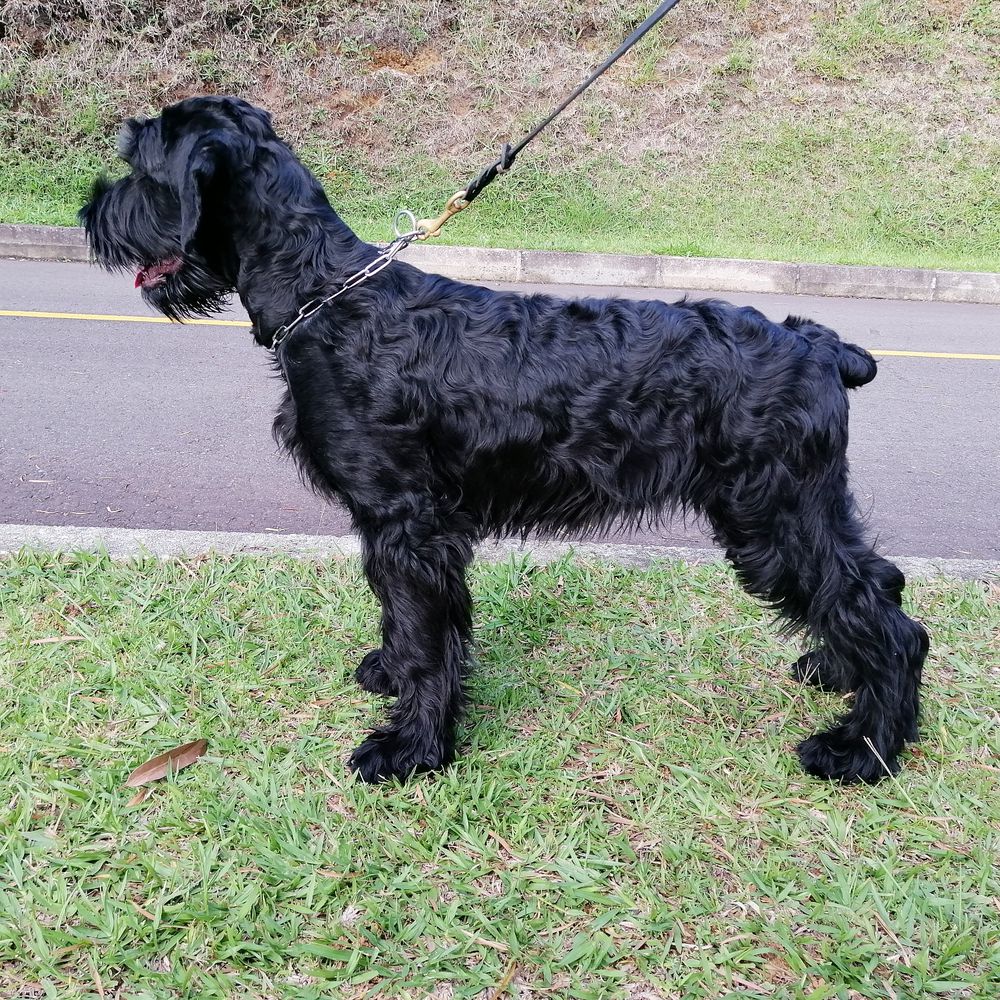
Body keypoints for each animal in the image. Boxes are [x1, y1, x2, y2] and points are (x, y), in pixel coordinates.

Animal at [80, 99, 928, 788]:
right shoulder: (401, 528)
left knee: (889, 621)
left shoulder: (409, 523)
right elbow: (408, 623)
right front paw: (393, 676)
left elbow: (425, 632)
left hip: (770, 515)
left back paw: (861, 749)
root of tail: (817, 343)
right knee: (875, 583)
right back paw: (837, 671)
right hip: (797, 509)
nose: (89, 212)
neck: (327, 297)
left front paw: (411, 750)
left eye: (138, 165)